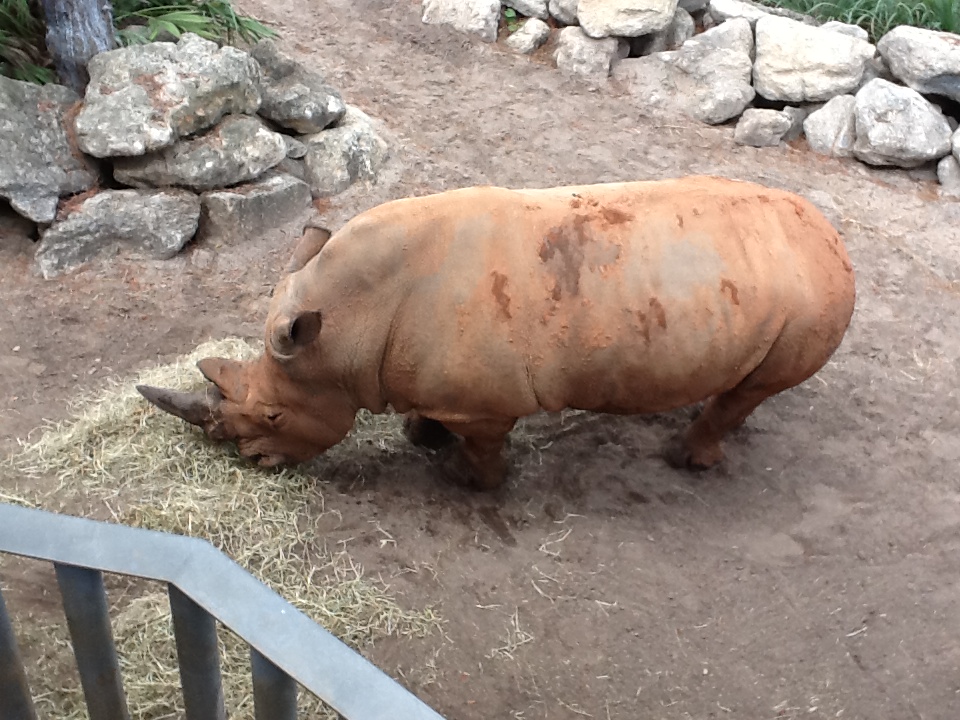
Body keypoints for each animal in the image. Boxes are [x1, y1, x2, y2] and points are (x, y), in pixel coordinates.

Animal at [139, 175, 856, 490]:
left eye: (273, 418)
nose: (255, 464)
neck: (347, 327)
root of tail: (834, 242)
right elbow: (428, 412)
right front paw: (421, 438)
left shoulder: (486, 407)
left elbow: (483, 451)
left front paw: (466, 478)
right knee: (742, 386)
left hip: (813, 299)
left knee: (750, 391)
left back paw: (687, 462)